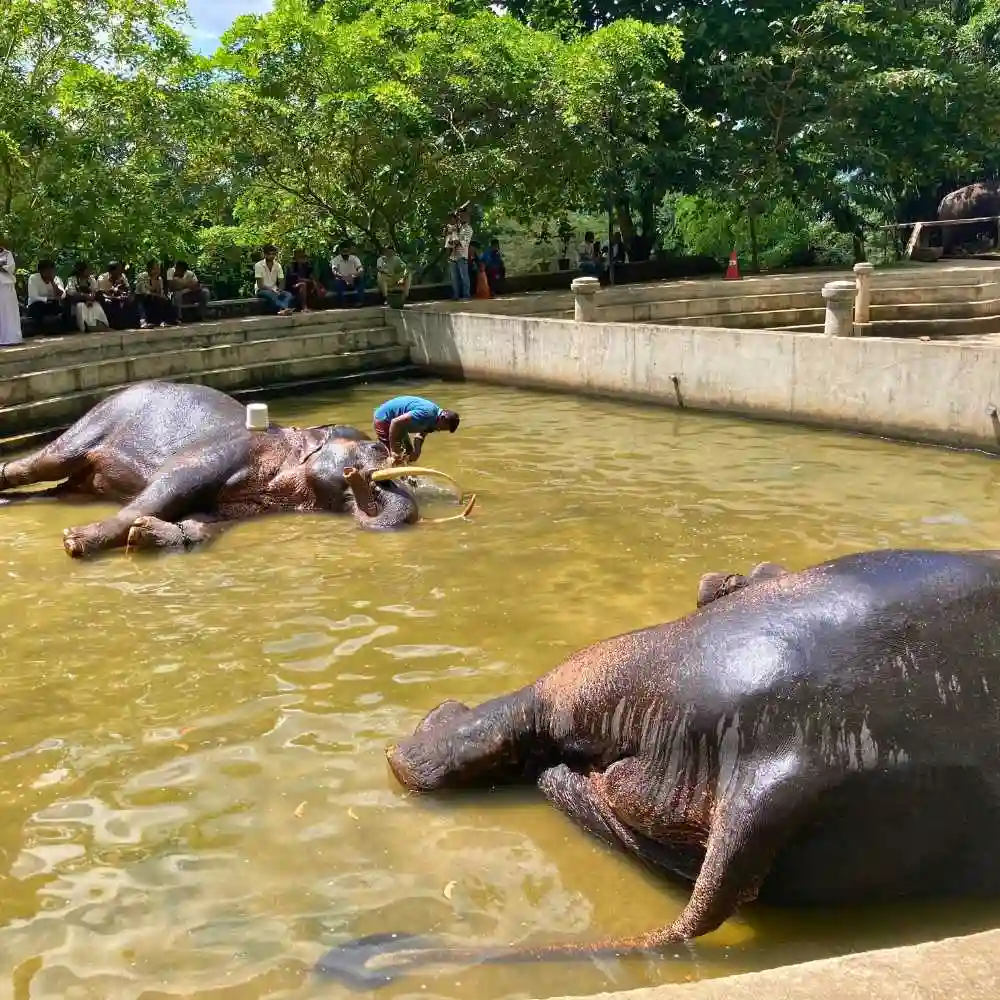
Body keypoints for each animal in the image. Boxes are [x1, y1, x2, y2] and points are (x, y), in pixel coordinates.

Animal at [0, 380, 473, 557]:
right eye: (375, 450)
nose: (357, 477)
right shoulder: (223, 451)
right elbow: (167, 487)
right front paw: (73, 542)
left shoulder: (247, 506)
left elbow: (204, 523)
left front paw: (145, 538)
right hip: (98, 421)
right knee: (41, 462)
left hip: (84, 477)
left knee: (62, 489)